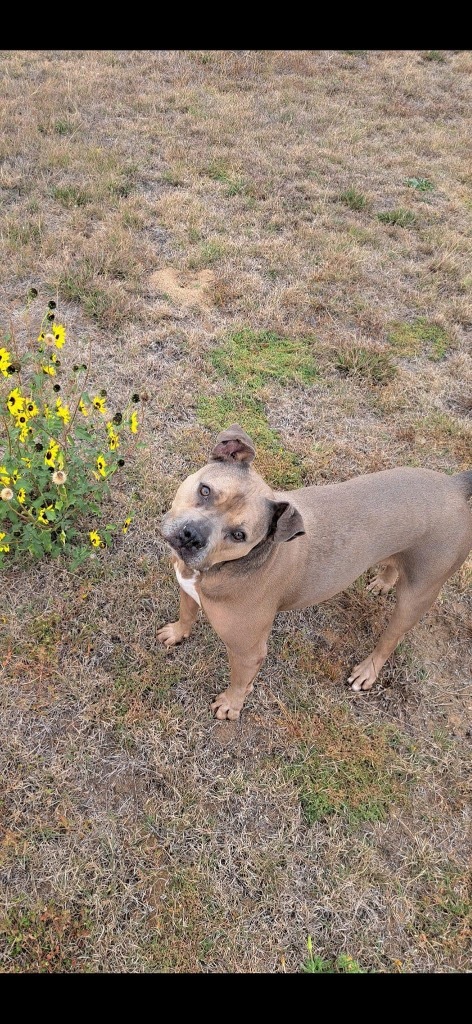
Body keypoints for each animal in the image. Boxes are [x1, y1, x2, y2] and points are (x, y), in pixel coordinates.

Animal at [158, 423, 470, 720]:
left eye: (239, 535)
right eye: (205, 490)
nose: (191, 536)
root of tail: (453, 485)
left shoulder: (248, 652)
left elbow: (239, 681)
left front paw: (230, 705)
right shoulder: (187, 589)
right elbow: (187, 614)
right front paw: (176, 632)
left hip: (417, 596)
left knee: (391, 638)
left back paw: (367, 671)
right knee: (393, 564)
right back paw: (383, 582)